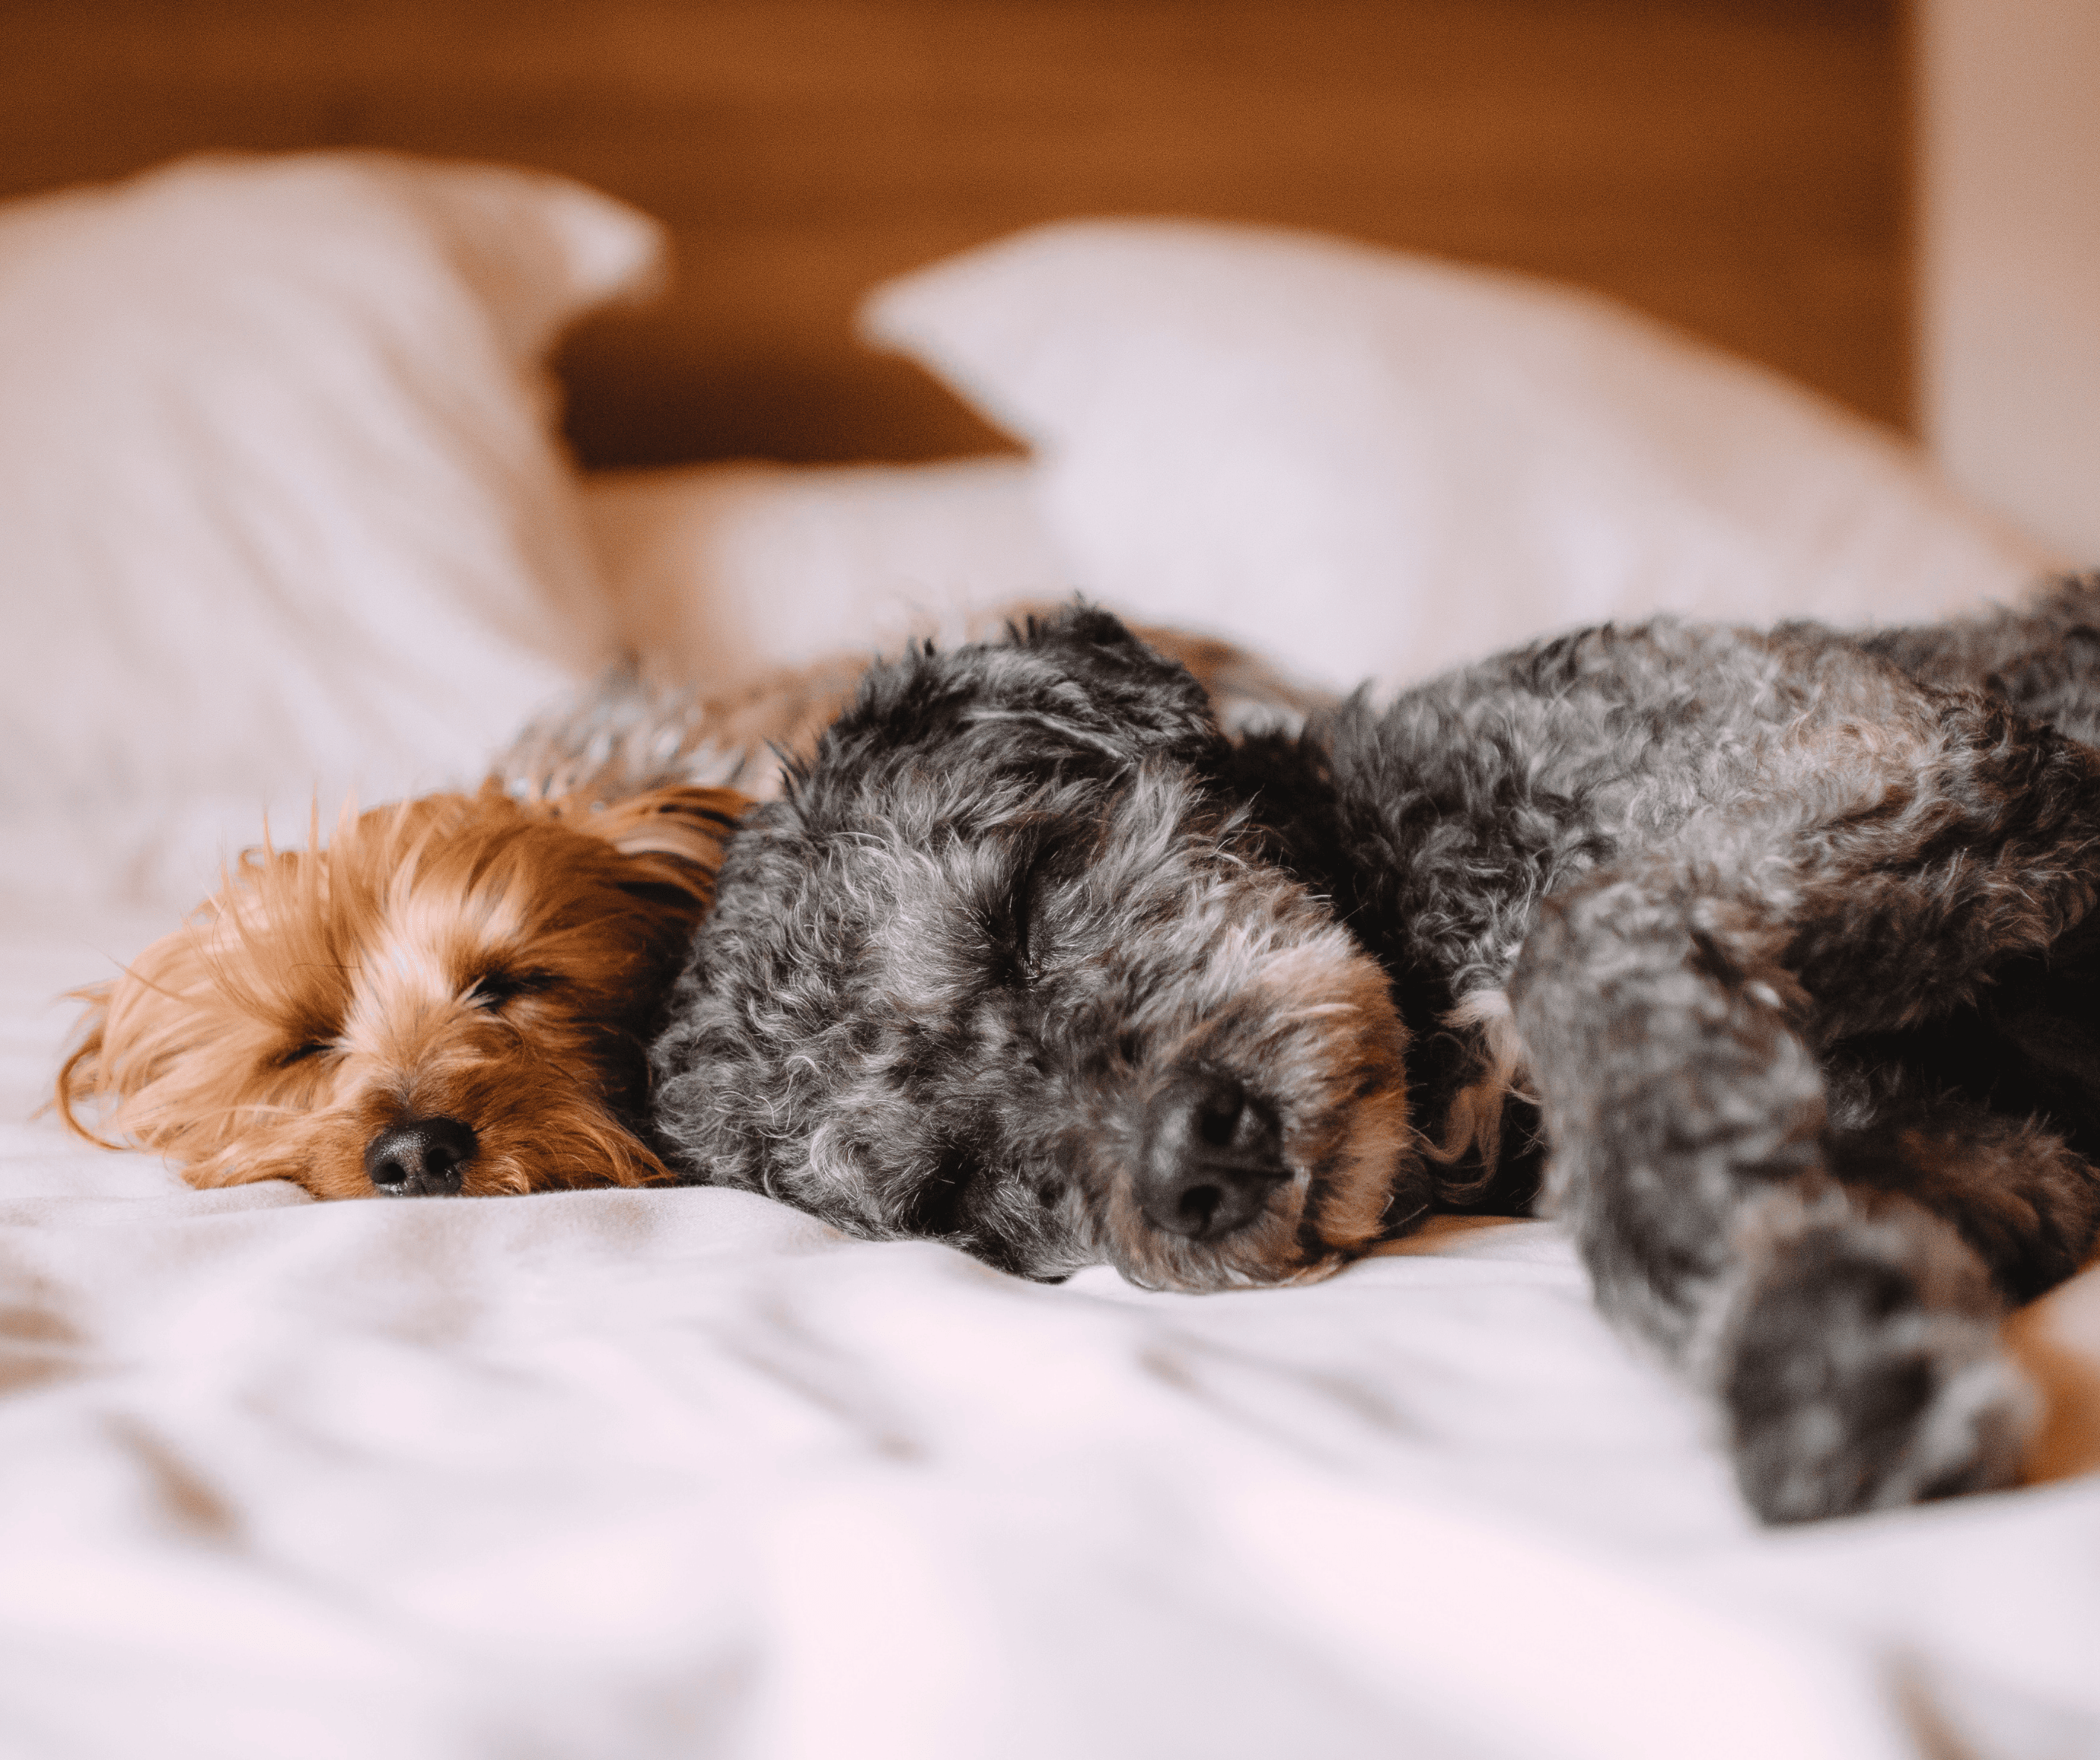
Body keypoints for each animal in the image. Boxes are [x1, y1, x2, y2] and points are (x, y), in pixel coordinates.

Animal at [646, 596, 2100, 1528]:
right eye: (956, 1187)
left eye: (1022, 900)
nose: (1193, 1161)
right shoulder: (2017, 1167)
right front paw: (1798, 1285)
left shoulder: (1905, 750)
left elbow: (1582, 938)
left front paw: (1808, 1356)